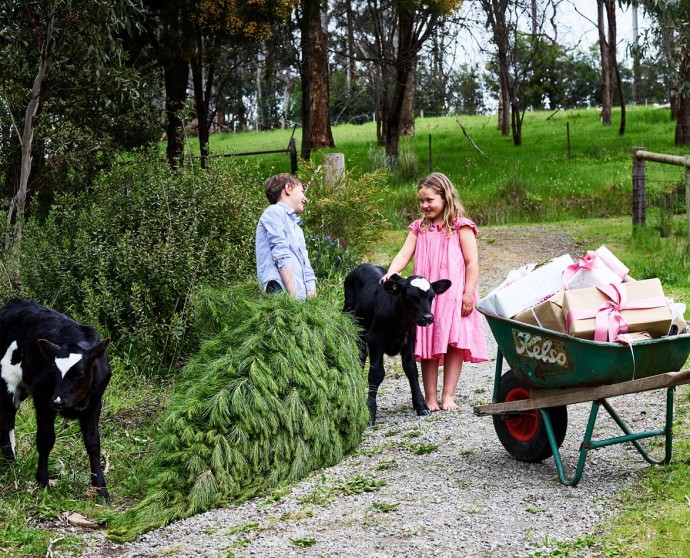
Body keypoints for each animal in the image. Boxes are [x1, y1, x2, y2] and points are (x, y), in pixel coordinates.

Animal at [0, 300, 110, 506]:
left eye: (80, 374)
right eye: (52, 372)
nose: (58, 401)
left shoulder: (94, 404)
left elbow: (93, 442)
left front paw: (101, 489)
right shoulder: (43, 399)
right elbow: (46, 439)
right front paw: (43, 482)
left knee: (8, 422)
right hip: (7, 382)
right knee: (4, 422)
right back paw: (11, 466)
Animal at [340, 264, 448, 426]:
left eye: (432, 296)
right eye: (409, 297)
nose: (427, 317)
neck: (399, 322)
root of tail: (363, 265)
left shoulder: (409, 340)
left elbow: (411, 370)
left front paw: (421, 406)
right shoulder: (375, 340)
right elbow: (376, 374)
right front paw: (370, 412)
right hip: (357, 330)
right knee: (360, 359)